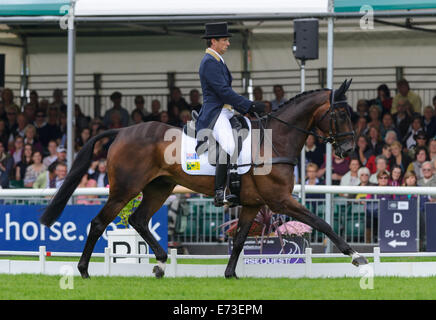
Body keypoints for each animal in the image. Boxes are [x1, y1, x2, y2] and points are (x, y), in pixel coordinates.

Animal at [40, 79, 368, 278]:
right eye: (340, 114)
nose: (349, 149)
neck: (275, 140)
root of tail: (122, 131)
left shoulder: (253, 204)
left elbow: (240, 239)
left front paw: (230, 274)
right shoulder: (280, 200)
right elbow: (321, 223)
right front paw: (356, 257)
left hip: (159, 187)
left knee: (138, 220)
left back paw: (161, 263)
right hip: (125, 189)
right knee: (99, 222)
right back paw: (84, 270)